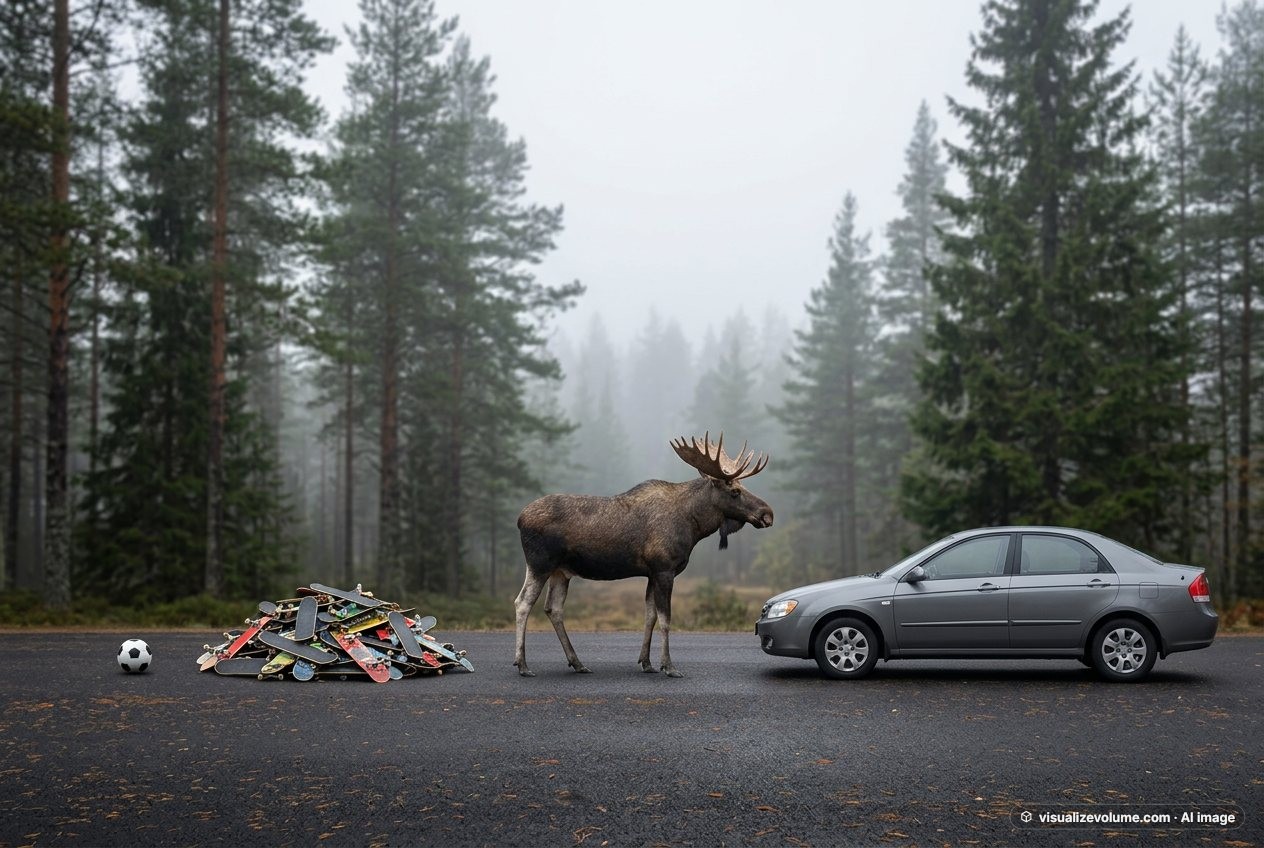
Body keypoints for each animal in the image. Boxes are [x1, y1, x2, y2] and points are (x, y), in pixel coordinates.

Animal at [513, 432, 773, 678]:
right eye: (735, 491)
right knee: (522, 603)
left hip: (561, 571)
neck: (693, 526)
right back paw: (523, 664)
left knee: (553, 608)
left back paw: (577, 663)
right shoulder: (664, 569)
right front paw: (668, 666)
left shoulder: (651, 573)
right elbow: (666, 619)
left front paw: (646, 663)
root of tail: (520, 518)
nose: (767, 513)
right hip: (539, 564)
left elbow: (650, 616)